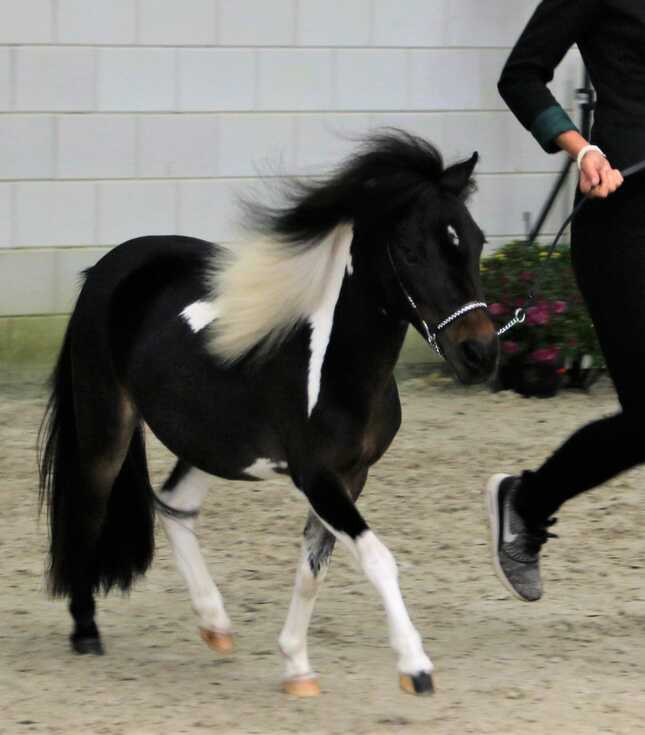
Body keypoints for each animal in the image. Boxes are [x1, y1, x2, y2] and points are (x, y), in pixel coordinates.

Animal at [39, 130, 498, 698]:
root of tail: (108, 268)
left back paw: (215, 624)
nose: (480, 354)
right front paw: (415, 668)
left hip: (209, 441)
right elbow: (376, 558)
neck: (331, 362)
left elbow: (312, 569)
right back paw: (86, 631)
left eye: (476, 241)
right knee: (88, 505)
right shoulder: (316, 476)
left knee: (173, 504)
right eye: (412, 251)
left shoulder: (351, 476)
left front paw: (297, 668)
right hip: (107, 423)